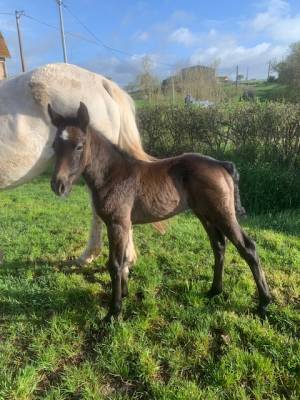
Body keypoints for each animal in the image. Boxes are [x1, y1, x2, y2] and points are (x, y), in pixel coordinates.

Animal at [48, 102, 270, 322]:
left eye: (79, 146)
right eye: (54, 146)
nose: (58, 185)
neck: (113, 175)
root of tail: (221, 165)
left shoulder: (117, 223)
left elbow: (115, 264)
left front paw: (114, 312)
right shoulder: (124, 224)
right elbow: (125, 260)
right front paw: (125, 295)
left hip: (223, 214)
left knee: (248, 248)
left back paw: (264, 303)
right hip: (205, 215)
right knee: (219, 246)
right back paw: (214, 291)